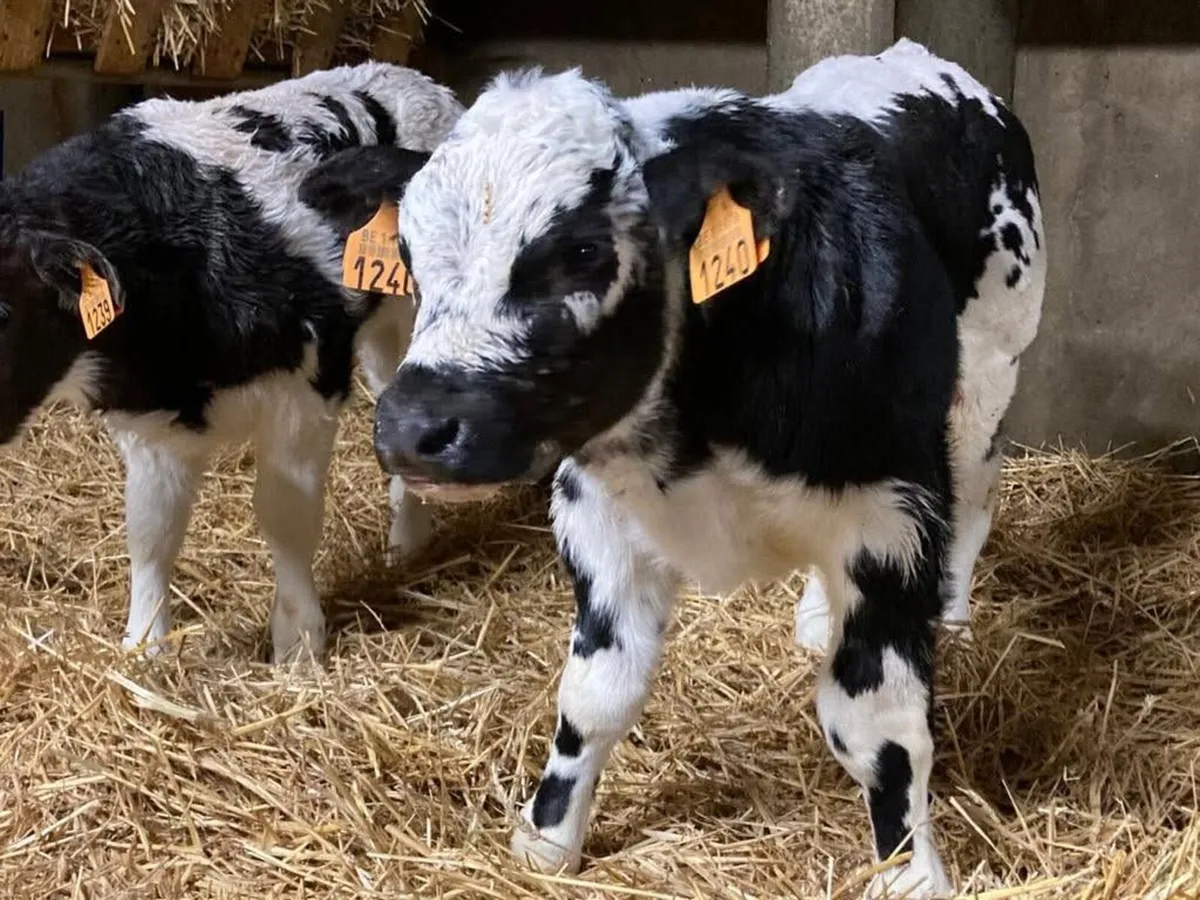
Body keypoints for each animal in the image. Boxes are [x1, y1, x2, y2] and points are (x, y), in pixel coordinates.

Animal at [0, 63, 463, 664]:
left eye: (4, 308)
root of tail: (416, 80)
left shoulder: (304, 391)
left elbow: (285, 516)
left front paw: (297, 643)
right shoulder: (151, 427)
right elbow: (151, 530)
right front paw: (145, 645)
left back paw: (408, 539)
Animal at [308, 39, 1045, 896]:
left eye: (584, 251)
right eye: (406, 253)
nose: (412, 428)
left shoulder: (892, 515)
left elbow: (878, 720)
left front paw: (909, 873)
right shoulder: (594, 512)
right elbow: (597, 695)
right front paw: (546, 841)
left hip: (990, 379)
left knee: (981, 490)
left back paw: (951, 608)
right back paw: (813, 620)